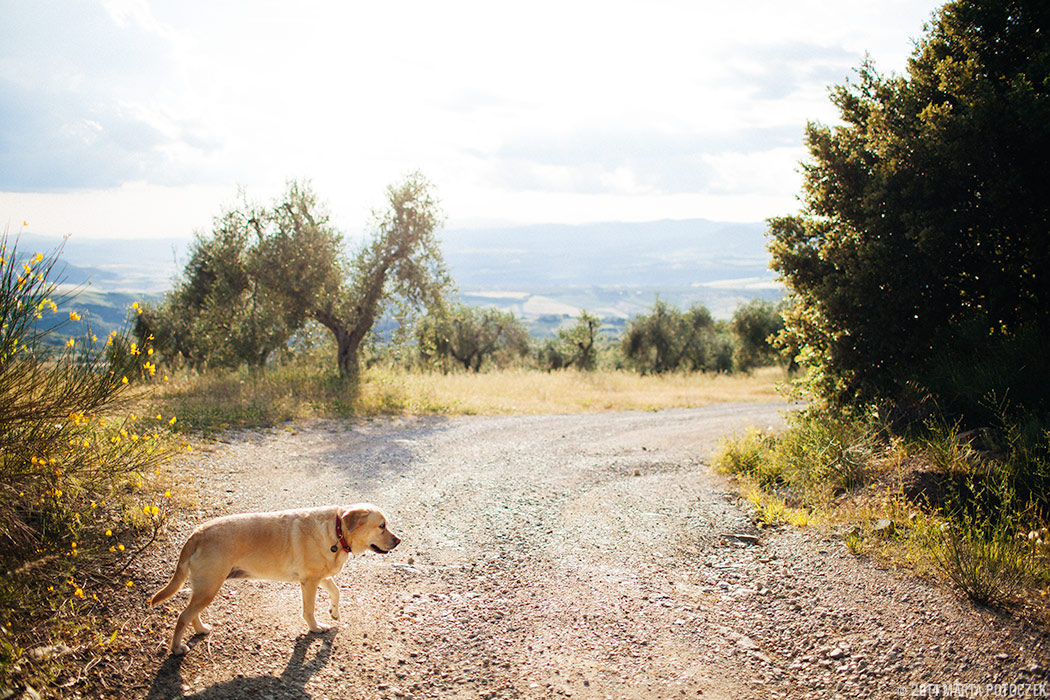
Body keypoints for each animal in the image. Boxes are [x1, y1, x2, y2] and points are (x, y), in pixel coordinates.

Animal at [152, 503, 401, 659]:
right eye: (382, 526)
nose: (399, 541)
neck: (337, 531)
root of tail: (196, 534)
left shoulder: (320, 577)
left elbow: (337, 591)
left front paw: (334, 612)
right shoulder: (309, 582)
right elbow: (309, 610)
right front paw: (316, 628)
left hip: (205, 588)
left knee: (191, 613)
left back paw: (201, 629)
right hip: (209, 587)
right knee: (183, 616)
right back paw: (176, 648)